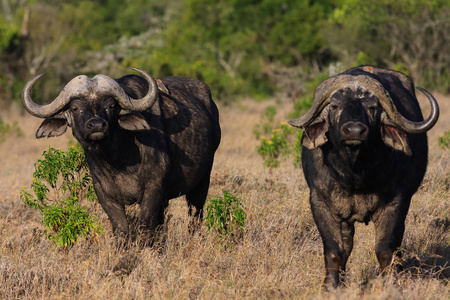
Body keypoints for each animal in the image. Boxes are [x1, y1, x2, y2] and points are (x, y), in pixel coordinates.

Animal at [22, 67, 221, 241]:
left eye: (111, 106)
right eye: (75, 108)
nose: (96, 125)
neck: (118, 160)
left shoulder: (153, 191)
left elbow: (144, 228)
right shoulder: (105, 195)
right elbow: (122, 230)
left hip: (202, 181)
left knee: (195, 215)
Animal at [288, 65, 440, 288]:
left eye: (373, 107)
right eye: (335, 106)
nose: (354, 130)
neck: (354, 175)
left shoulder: (396, 203)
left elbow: (385, 250)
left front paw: (390, 283)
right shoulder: (320, 203)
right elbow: (334, 250)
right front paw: (330, 286)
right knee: (346, 245)